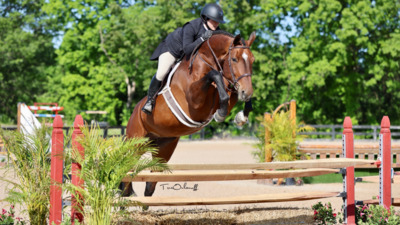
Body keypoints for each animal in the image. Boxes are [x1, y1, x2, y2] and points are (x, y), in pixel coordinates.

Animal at [124, 29, 256, 197]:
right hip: (135, 142)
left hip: (163, 149)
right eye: (234, 59)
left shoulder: (228, 87)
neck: (207, 60)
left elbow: (229, 91)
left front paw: (241, 116)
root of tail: (134, 112)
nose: (247, 92)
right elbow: (214, 75)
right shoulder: (195, 101)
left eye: (252, 60)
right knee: (126, 170)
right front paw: (222, 113)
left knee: (150, 182)